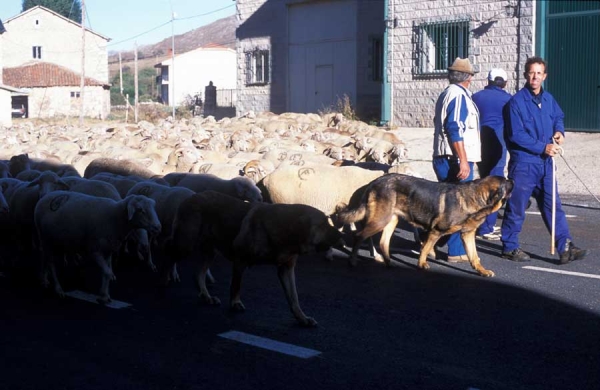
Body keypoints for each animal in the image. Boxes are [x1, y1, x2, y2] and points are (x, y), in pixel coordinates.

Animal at [34, 193, 162, 304]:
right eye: (140, 210)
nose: (158, 227)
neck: (115, 217)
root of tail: (45, 197)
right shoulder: (95, 250)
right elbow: (107, 272)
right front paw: (103, 296)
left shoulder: (108, 250)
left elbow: (106, 272)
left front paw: (105, 295)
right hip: (47, 239)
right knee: (51, 262)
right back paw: (58, 289)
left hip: (47, 238)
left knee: (44, 256)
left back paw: (43, 279)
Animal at [166, 190, 342, 328]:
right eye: (323, 224)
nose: (342, 235)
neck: (286, 228)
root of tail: (191, 196)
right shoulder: (240, 260)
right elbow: (236, 286)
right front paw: (235, 304)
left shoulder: (286, 269)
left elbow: (294, 298)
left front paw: (302, 318)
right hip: (185, 244)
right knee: (169, 250)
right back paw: (169, 274)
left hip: (209, 251)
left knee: (198, 274)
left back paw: (205, 296)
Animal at [336, 174, 512, 278]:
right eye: (507, 184)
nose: (513, 180)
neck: (475, 197)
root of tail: (374, 182)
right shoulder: (436, 231)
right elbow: (426, 248)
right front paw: (421, 264)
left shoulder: (467, 235)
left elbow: (474, 256)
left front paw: (482, 271)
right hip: (380, 220)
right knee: (359, 236)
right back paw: (352, 261)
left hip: (391, 220)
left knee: (383, 242)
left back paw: (388, 262)